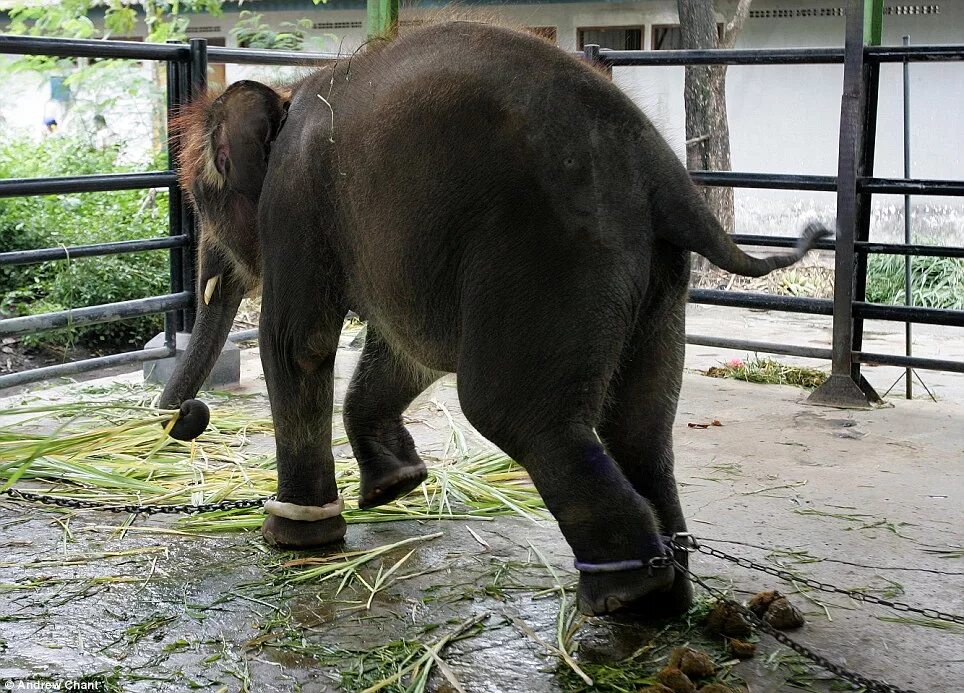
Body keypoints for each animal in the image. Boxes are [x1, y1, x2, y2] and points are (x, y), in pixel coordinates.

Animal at [160, 21, 828, 616]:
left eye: (201, 200)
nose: (189, 417)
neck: (288, 92)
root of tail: (665, 175)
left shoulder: (297, 204)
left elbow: (301, 343)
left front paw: (295, 537)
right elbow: (405, 350)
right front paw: (394, 488)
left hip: (551, 253)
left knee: (511, 409)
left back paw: (620, 596)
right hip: (658, 278)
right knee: (640, 428)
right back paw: (664, 602)